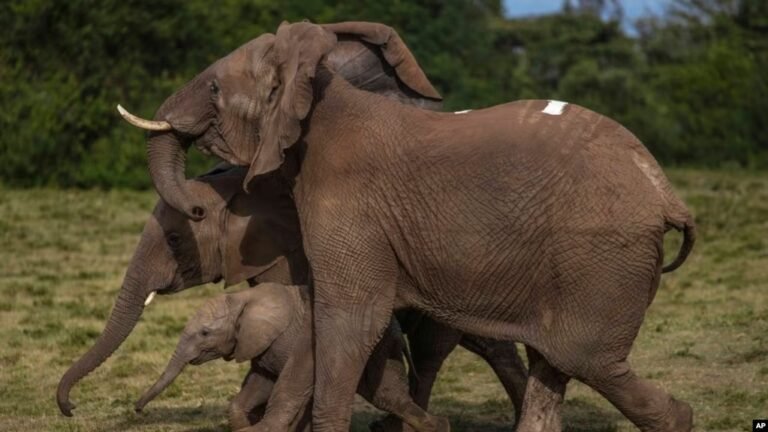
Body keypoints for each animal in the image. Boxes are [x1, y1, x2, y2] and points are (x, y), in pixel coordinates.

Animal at [134, 284, 451, 432]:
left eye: (204, 333)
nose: (136, 410)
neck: (243, 298)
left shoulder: (295, 338)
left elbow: (284, 384)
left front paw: (260, 429)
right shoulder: (263, 346)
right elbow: (260, 382)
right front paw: (245, 426)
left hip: (378, 347)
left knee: (384, 394)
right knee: (387, 396)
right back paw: (437, 426)